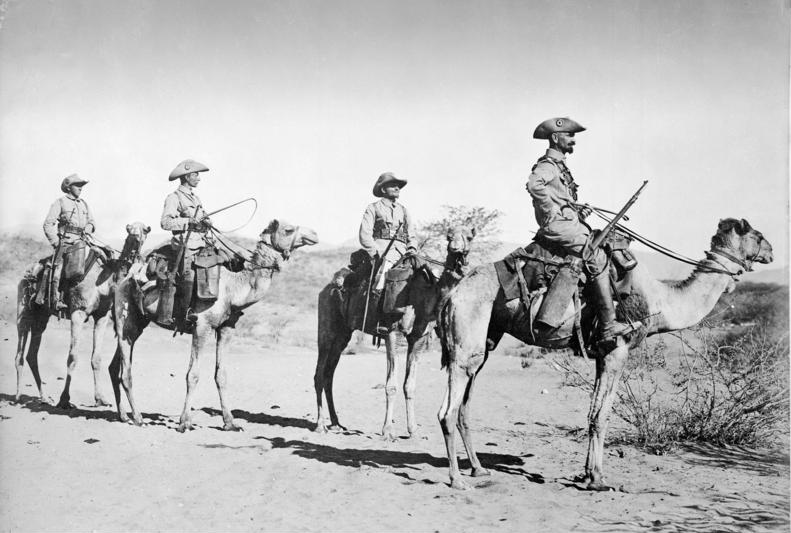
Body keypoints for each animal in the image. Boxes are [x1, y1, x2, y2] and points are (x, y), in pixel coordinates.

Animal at [15, 222, 152, 406]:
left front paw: (100, 398)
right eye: (129, 231)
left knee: (32, 354)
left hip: (41, 317)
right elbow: (72, 357)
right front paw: (64, 399)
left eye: (145, 230)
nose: (136, 239)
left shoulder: (102, 316)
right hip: (24, 311)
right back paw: (17, 396)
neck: (104, 278)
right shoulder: (78, 312)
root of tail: (26, 274)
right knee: (20, 352)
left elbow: (96, 358)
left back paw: (43, 398)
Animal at [110, 218, 318, 430]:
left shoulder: (226, 328)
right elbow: (193, 375)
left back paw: (124, 416)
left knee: (116, 366)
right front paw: (184, 422)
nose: (314, 234)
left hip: (137, 324)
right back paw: (138, 418)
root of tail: (124, 280)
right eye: (288, 229)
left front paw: (230, 423)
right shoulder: (202, 326)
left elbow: (221, 375)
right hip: (125, 317)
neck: (233, 288)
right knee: (126, 372)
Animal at [314, 224, 476, 436]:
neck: (421, 295)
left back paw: (336, 423)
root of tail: (326, 288)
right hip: (327, 327)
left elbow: (410, 385)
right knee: (319, 373)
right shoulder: (392, 333)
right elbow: (391, 385)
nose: (457, 251)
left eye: (469, 237)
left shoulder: (418, 338)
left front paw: (413, 429)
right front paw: (388, 430)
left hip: (343, 334)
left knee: (329, 374)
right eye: (449, 237)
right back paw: (320, 425)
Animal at [434, 218, 772, 488]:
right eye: (756, 234)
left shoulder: (601, 354)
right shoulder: (616, 351)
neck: (660, 302)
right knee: (447, 409)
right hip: (467, 337)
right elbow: (602, 416)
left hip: (486, 340)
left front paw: (586, 474)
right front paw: (597, 479)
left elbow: (593, 412)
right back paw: (457, 479)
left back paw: (478, 469)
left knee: (464, 405)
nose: (771, 251)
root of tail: (452, 294)